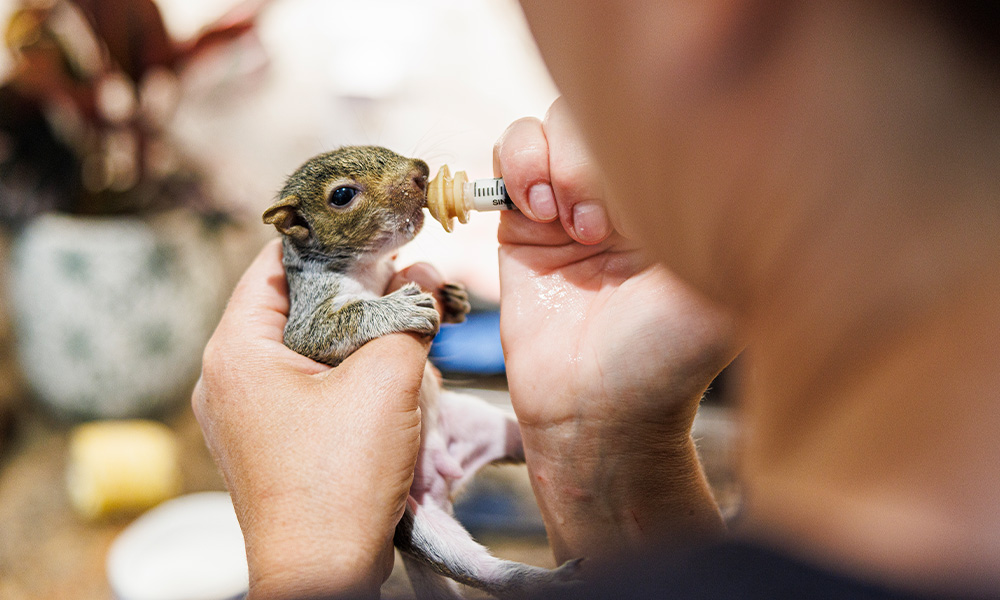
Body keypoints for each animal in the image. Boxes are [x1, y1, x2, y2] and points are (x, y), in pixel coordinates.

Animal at [263, 146, 581, 599]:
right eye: (341, 195)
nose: (421, 172)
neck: (369, 268)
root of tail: (445, 480)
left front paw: (454, 298)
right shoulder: (306, 319)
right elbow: (337, 324)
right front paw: (402, 306)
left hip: (480, 421)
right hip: (413, 526)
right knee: (483, 571)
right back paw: (549, 580)